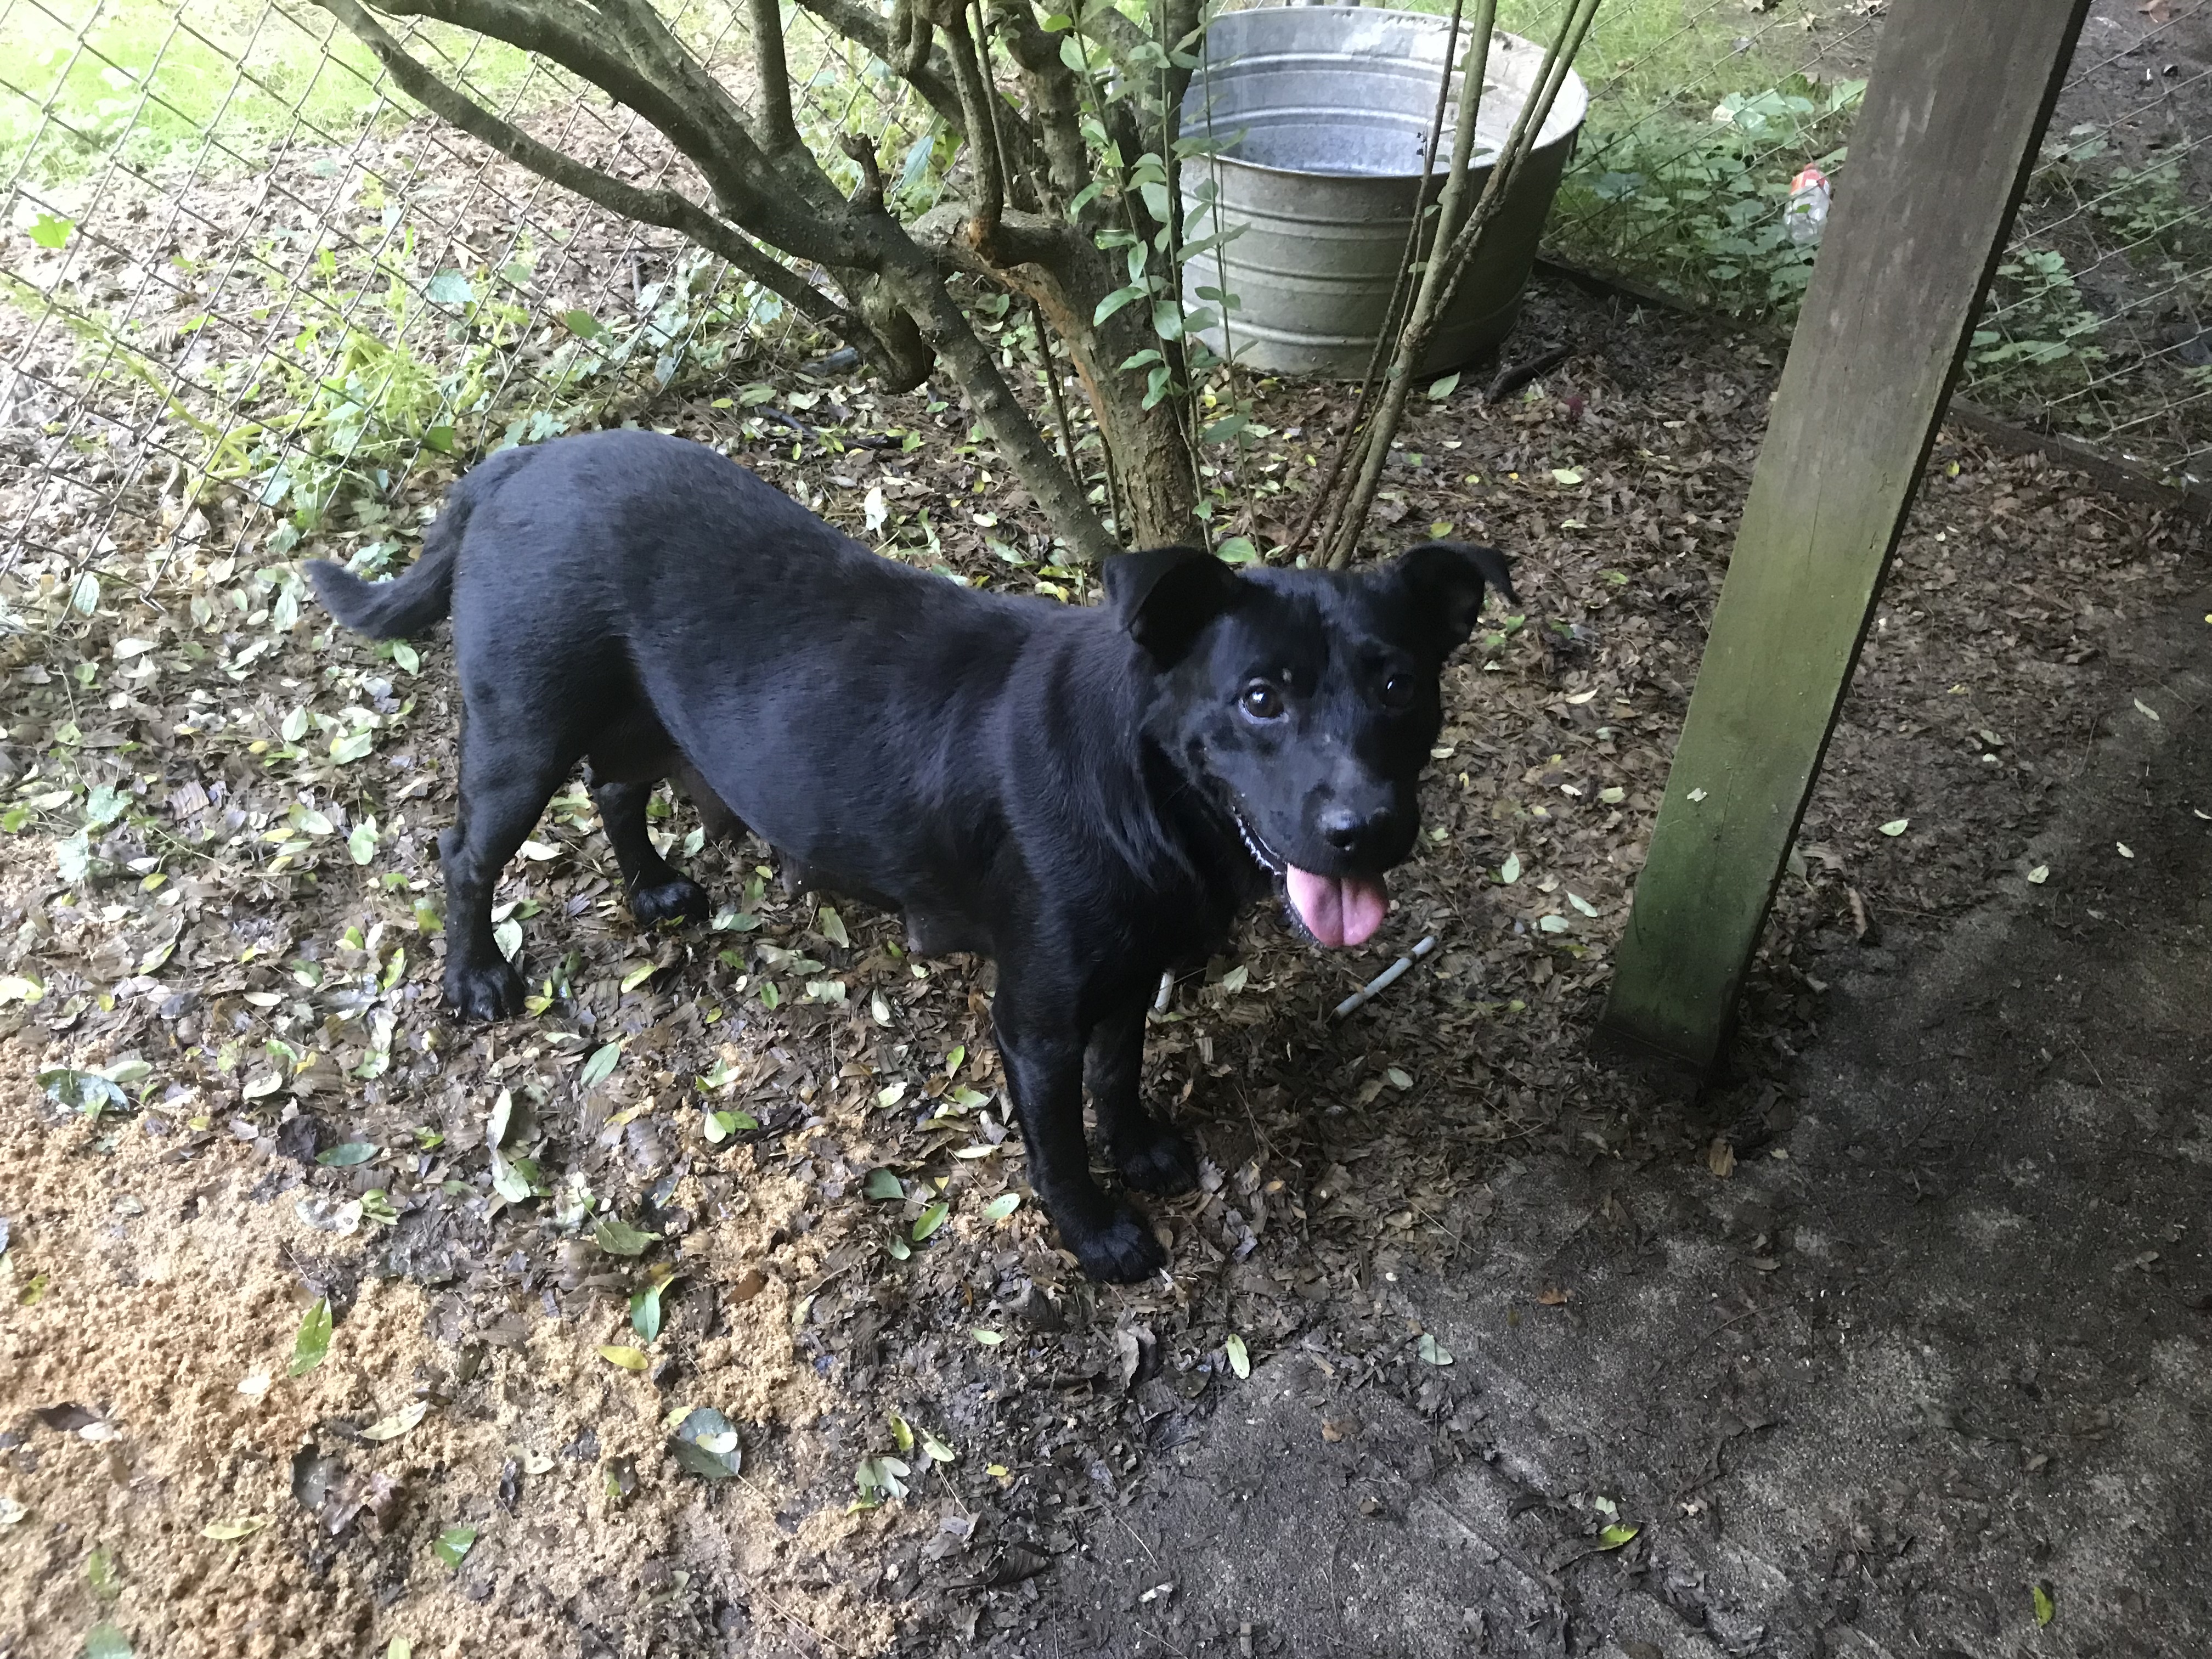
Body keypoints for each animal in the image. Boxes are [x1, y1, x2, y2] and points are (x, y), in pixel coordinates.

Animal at [312, 431, 1513, 1283]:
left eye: (1401, 683)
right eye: (1262, 698)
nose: (1369, 827)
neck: (1147, 785)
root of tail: (518, 459)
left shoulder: (1125, 978)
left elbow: (1120, 1075)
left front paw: (1143, 1148)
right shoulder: (1035, 1016)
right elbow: (1058, 1138)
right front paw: (1098, 1234)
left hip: (646, 714)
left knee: (615, 787)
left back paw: (651, 887)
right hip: (523, 731)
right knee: (464, 851)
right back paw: (475, 976)